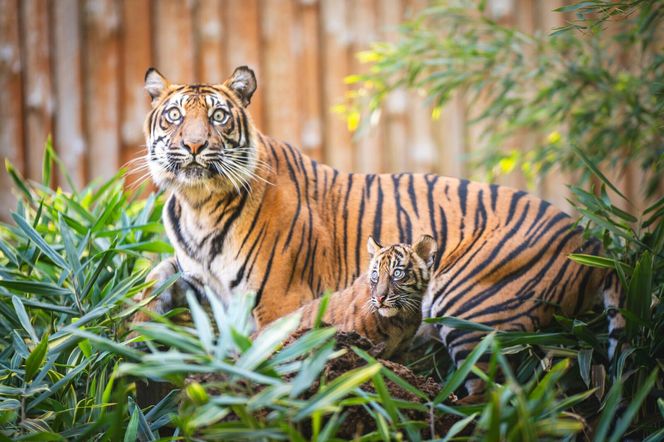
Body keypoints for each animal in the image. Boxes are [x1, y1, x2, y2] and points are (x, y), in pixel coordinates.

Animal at [134, 64, 624, 390]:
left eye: (218, 116)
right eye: (175, 115)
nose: (194, 146)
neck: (199, 203)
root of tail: (590, 239)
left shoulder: (278, 301)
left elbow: (274, 350)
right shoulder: (194, 274)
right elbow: (154, 279)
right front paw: (134, 332)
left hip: (467, 303)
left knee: (498, 391)